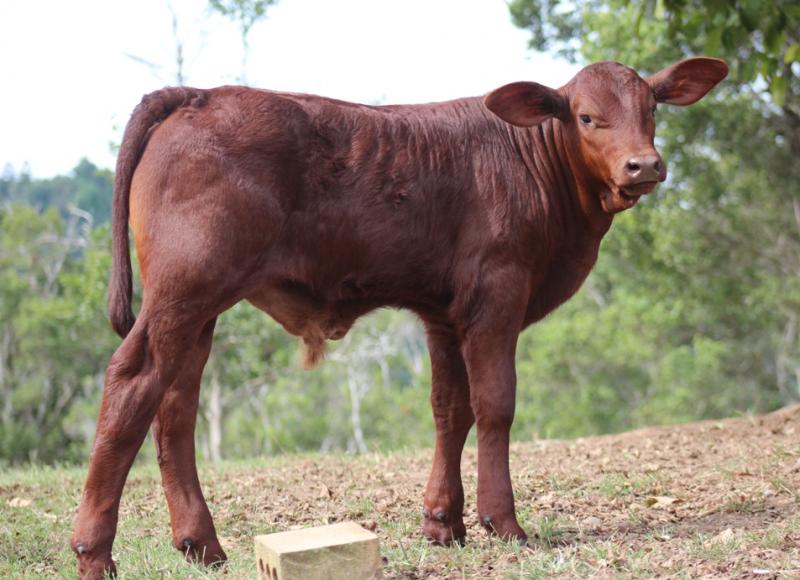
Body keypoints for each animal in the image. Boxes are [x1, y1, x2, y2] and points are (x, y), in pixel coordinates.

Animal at [71, 57, 728, 578]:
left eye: (652, 109)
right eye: (587, 117)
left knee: (175, 407)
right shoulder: (498, 293)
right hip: (185, 290)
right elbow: (495, 405)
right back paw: (95, 553)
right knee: (133, 384)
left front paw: (443, 524)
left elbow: (450, 410)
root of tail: (198, 93)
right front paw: (503, 523)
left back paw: (201, 545)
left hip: (196, 308)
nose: (644, 166)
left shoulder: (445, 314)